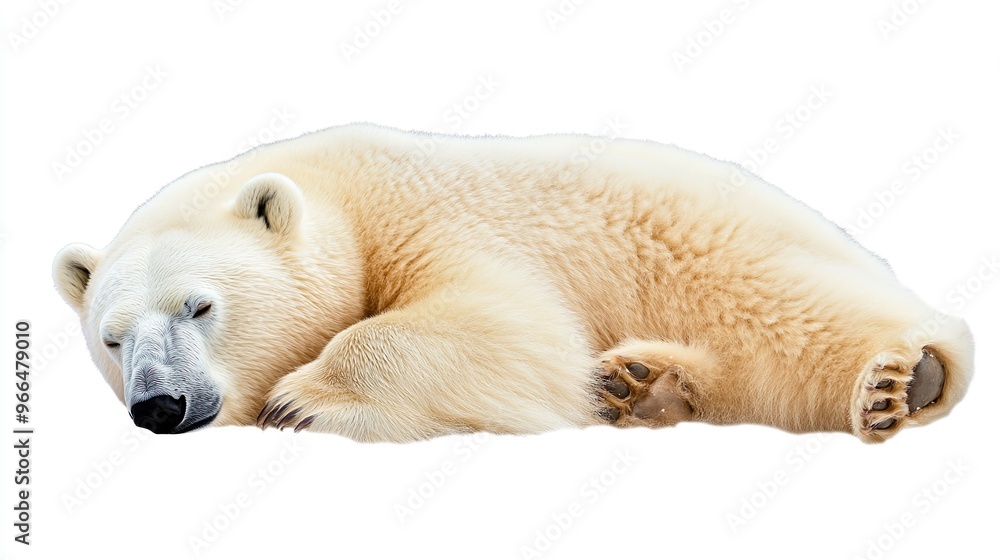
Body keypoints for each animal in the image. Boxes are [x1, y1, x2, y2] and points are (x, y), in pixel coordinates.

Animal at [53, 123, 974, 443]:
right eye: (111, 339)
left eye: (200, 306)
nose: (159, 405)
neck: (344, 195)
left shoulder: (438, 219)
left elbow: (505, 323)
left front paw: (303, 399)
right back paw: (641, 386)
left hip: (714, 244)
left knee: (790, 309)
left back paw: (906, 376)